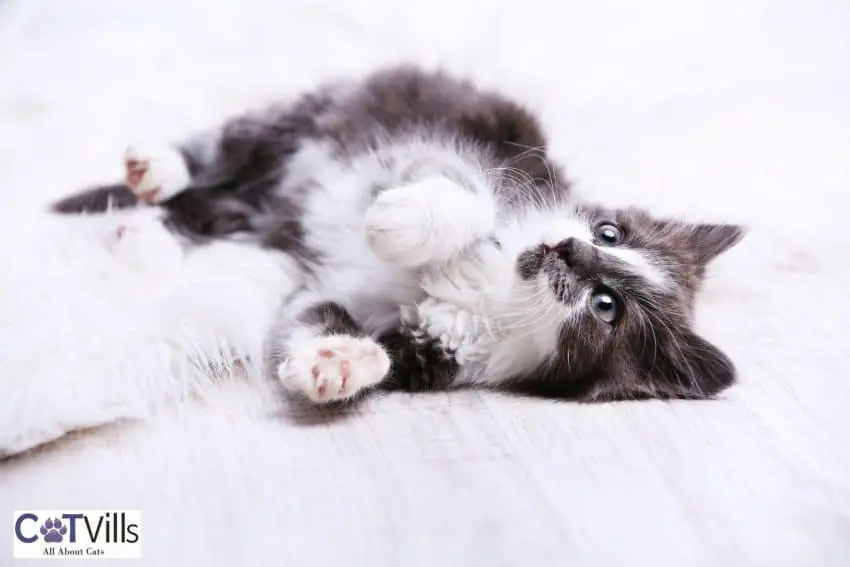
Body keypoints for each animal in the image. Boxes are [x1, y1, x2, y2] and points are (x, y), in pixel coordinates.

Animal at [54, 65, 744, 404]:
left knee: (238, 221)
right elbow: (453, 191)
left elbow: (314, 315)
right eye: (609, 231)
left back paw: (142, 240)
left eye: (606, 305)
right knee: (233, 145)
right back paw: (157, 168)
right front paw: (402, 222)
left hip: (279, 236)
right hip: (328, 110)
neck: (489, 291)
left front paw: (338, 360)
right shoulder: (473, 166)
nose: (567, 249)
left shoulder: (415, 348)